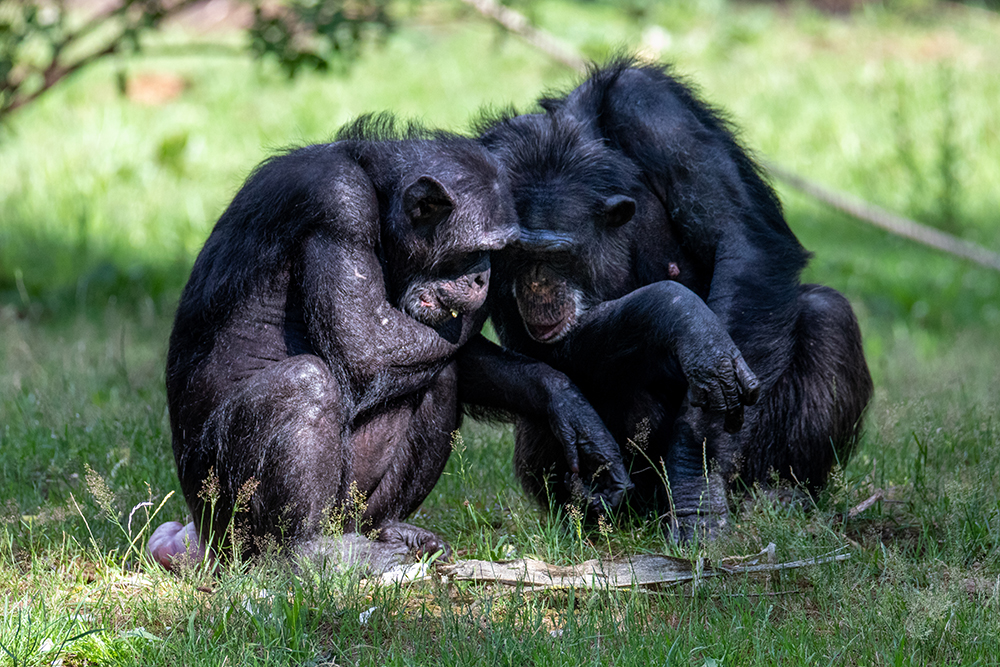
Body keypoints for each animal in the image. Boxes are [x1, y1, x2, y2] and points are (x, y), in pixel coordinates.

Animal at [146, 113, 632, 568]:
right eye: (477, 249)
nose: (483, 275)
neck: (379, 200)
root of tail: (196, 539)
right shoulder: (338, 206)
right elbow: (365, 344)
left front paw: (564, 400)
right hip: (225, 517)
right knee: (305, 383)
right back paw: (306, 550)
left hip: (349, 511)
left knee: (440, 379)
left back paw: (392, 533)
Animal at [472, 56, 872, 536]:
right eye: (515, 256)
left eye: (556, 255)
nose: (536, 285)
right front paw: (676, 314)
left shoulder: (653, 108)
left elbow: (742, 239)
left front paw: (694, 479)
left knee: (826, 314)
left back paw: (782, 492)